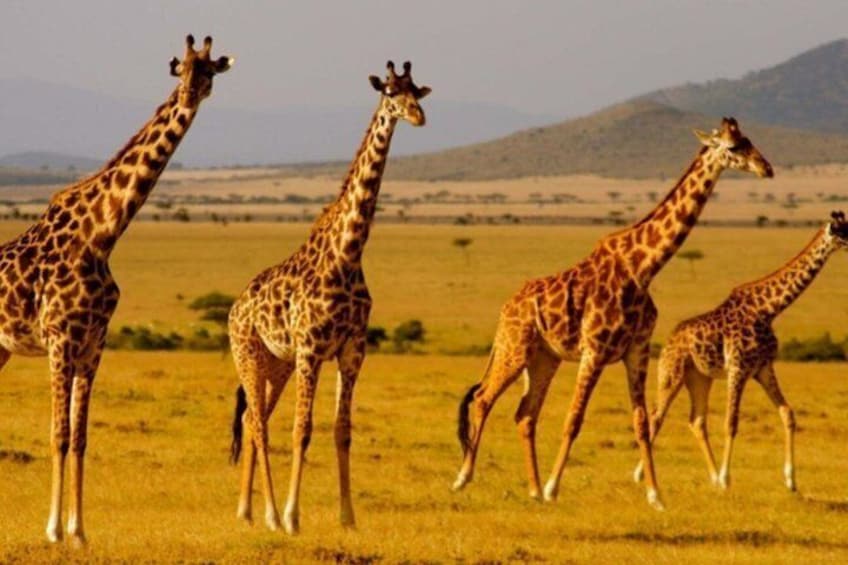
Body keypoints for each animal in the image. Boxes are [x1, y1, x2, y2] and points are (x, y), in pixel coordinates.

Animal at [0, 35, 232, 545]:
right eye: (181, 69)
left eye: (209, 71)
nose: (191, 95)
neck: (102, 234)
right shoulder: (59, 339)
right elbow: (59, 433)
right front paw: (52, 530)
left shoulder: (94, 342)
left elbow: (82, 436)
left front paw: (80, 531)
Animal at [228, 61, 430, 535]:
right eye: (390, 92)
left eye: (417, 92)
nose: (417, 116)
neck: (348, 254)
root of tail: (234, 307)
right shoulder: (311, 349)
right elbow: (302, 429)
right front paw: (292, 516)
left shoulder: (352, 350)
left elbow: (343, 430)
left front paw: (348, 518)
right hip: (248, 353)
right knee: (259, 424)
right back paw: (269, 515)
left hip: (277, 364)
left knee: (252, 418)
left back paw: (246, 511)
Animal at [453, 118, 774, 510]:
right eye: (732, 147)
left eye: (748, 139)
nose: (766, 168)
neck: (643, 268)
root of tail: (505, 308)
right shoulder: (594, 351)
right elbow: (574, 419)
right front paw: (554, 487)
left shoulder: (636, 351)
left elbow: (642, 423)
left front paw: (655, 496)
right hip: (515, 348)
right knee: (484, 398)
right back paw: (464, 478)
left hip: (543, 358)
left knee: (525, 414)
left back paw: (532, 490)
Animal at [633, 211, 848, 493]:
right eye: (844, 232)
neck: (768, 310)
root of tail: (669, 339)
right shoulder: (738, 368)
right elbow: (731, 422)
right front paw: (727, 479)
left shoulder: (764, 368)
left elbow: (788, 414)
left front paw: (791, 480)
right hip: (671, 373)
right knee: (656, 416)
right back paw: (641, 475)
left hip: (700, 378)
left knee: (696, 420)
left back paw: (712, 478)